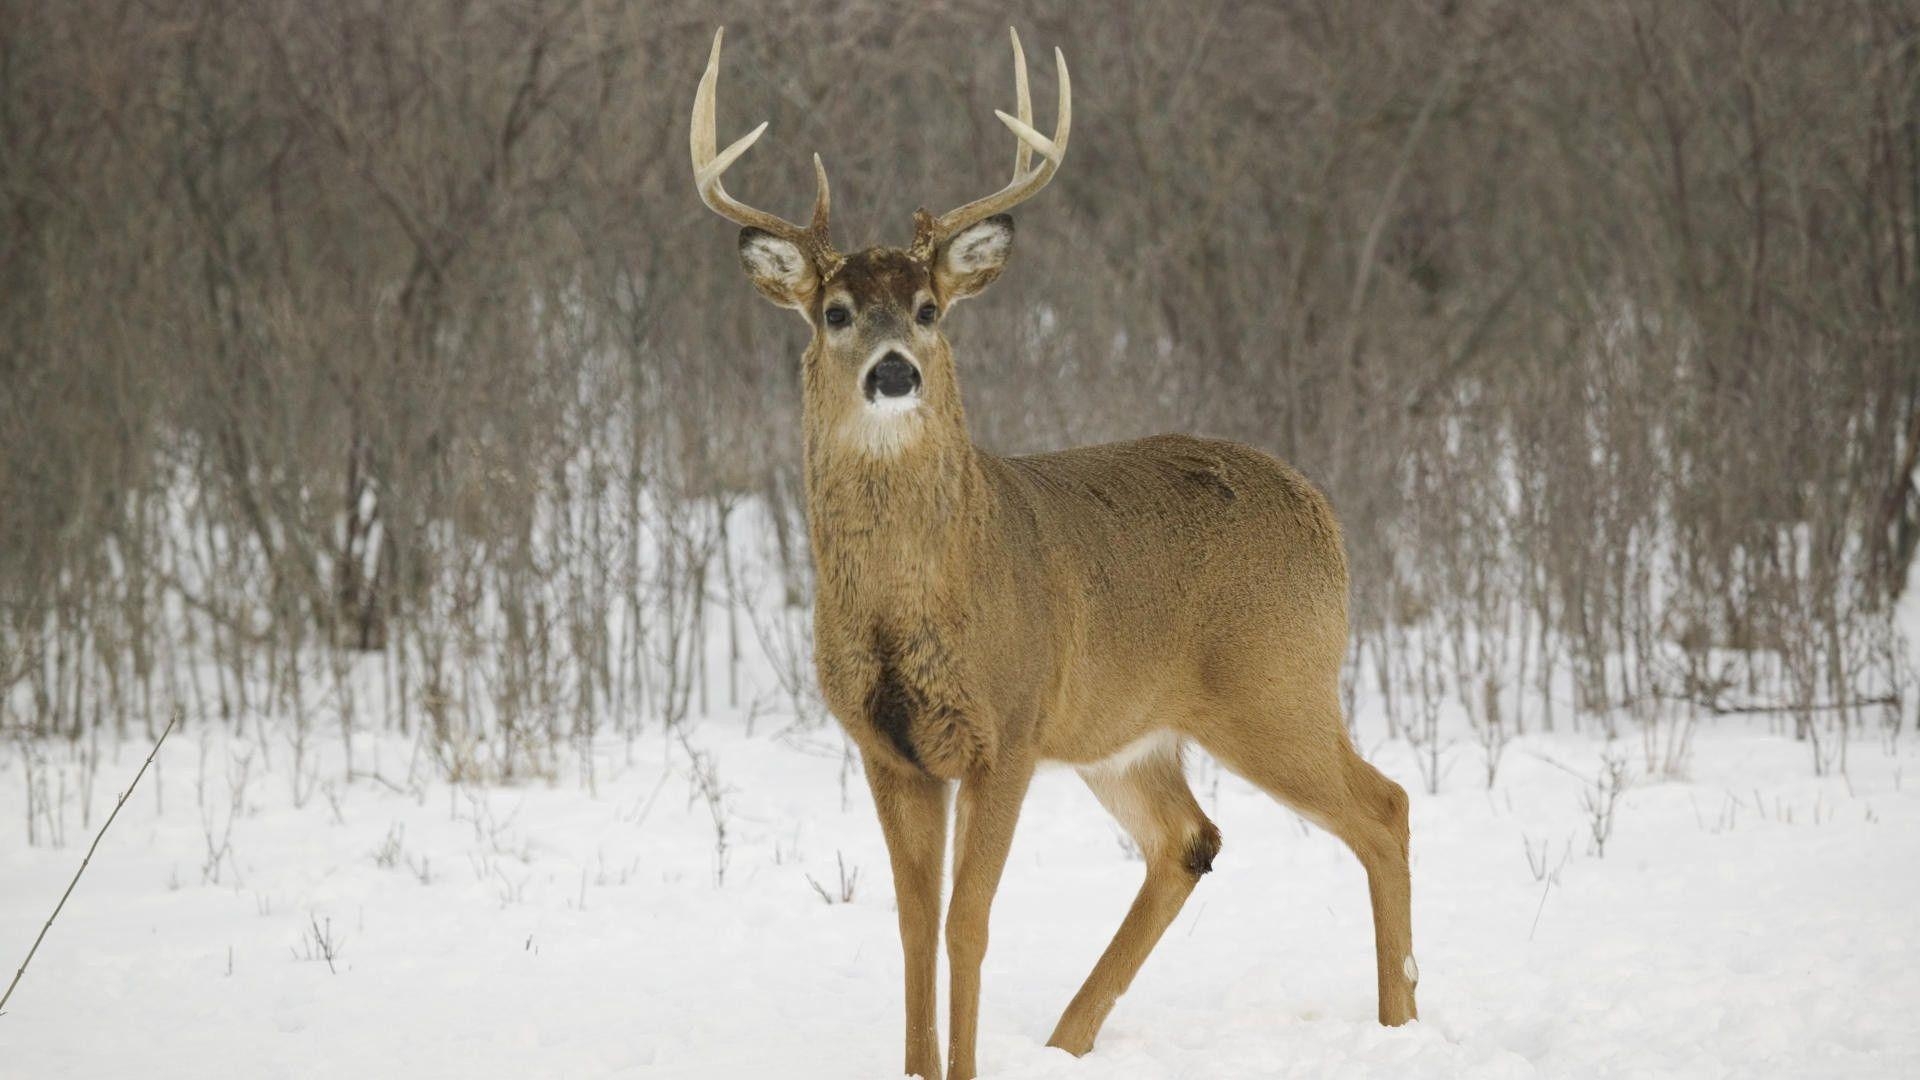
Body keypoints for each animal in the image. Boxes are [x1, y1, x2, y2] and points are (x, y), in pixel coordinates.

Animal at [691, 25, 1413, 1076]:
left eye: (928, 308)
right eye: (835, 312)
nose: (895, 372)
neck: (914, 603)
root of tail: (1322, 509)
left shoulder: (1011, 726)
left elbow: (968, 922)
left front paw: (961, 1067)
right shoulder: (887, 746)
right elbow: (912, 925)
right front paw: (921, 1065)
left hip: (1276, 684)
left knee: (1383, 808)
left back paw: (1402, 1024)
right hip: (1128, 730)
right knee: (1189, 839)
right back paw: (1069, 1042)